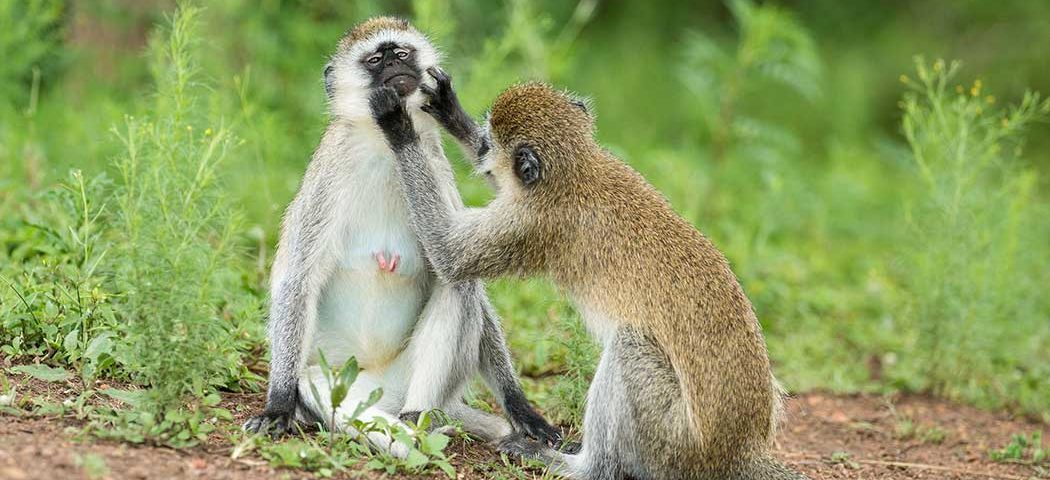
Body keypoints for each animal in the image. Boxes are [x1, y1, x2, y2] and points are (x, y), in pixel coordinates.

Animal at [242, 17, 561, 456]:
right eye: (375, 60)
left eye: (403, 53)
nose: (396, 65)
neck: (382, 148)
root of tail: (375, 379)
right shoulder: (329, 176)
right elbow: (299, 280)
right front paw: (276, 405)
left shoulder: (434, 163)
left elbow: (456, 263)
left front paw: (520, 406)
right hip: (336, 384)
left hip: (401, 382)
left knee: (459, 288)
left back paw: (419, 419)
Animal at [369, 71, 809, 479]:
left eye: (492, 144)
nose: (484, 149)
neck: (578, 172)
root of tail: (739, 453)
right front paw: (450, 110)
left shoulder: (531, 224)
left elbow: (450, 256)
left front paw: (398, 127)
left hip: (673, 442)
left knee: (629, 348)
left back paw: (580, 465)